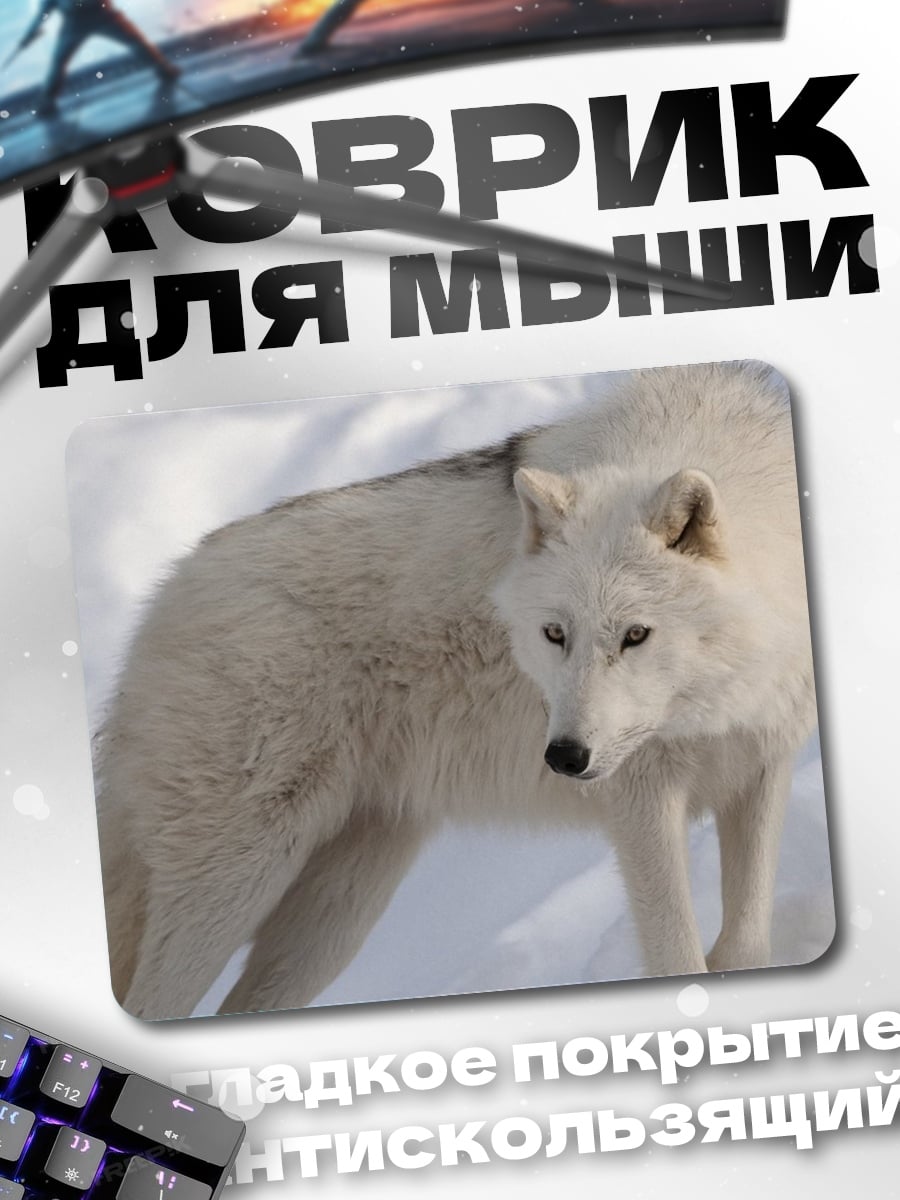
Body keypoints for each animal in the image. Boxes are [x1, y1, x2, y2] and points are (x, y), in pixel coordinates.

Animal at [96, 361, 817, 1019]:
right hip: (240, 880)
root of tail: (166, 593)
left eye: (636, 635)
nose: (564, 757)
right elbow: (677, 958)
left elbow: (745, 944)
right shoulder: (642, 803)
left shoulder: (762, 765)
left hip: (338, 912)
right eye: (555, 634)